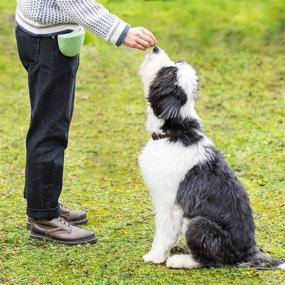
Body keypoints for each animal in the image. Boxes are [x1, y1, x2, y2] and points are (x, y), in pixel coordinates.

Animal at [137, 46, 282, 268]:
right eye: (174, 65)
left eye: (167, 70)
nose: (155, 47)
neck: (176, 131)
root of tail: (248, 253)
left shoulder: (169, 202)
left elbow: (164, 232)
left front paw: (155, 255)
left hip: (199, 224)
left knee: (210, 260)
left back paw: (181, 260)